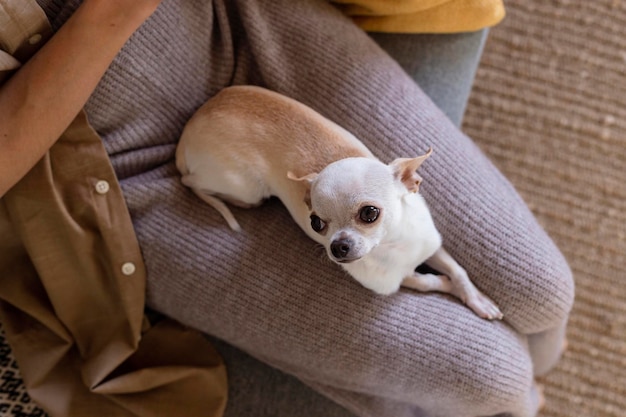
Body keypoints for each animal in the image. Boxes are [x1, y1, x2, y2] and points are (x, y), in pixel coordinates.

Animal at [174, 85, 502, 318]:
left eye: (369, 214)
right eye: (316, 223)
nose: (337, 246)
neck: (394, 246)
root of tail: (187, 132)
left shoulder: (432, 245)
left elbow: (458, 270)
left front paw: (478, 299)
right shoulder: (396, 283)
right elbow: (430, 282)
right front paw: (448, 287)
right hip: (244, 186)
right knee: (191, 182)